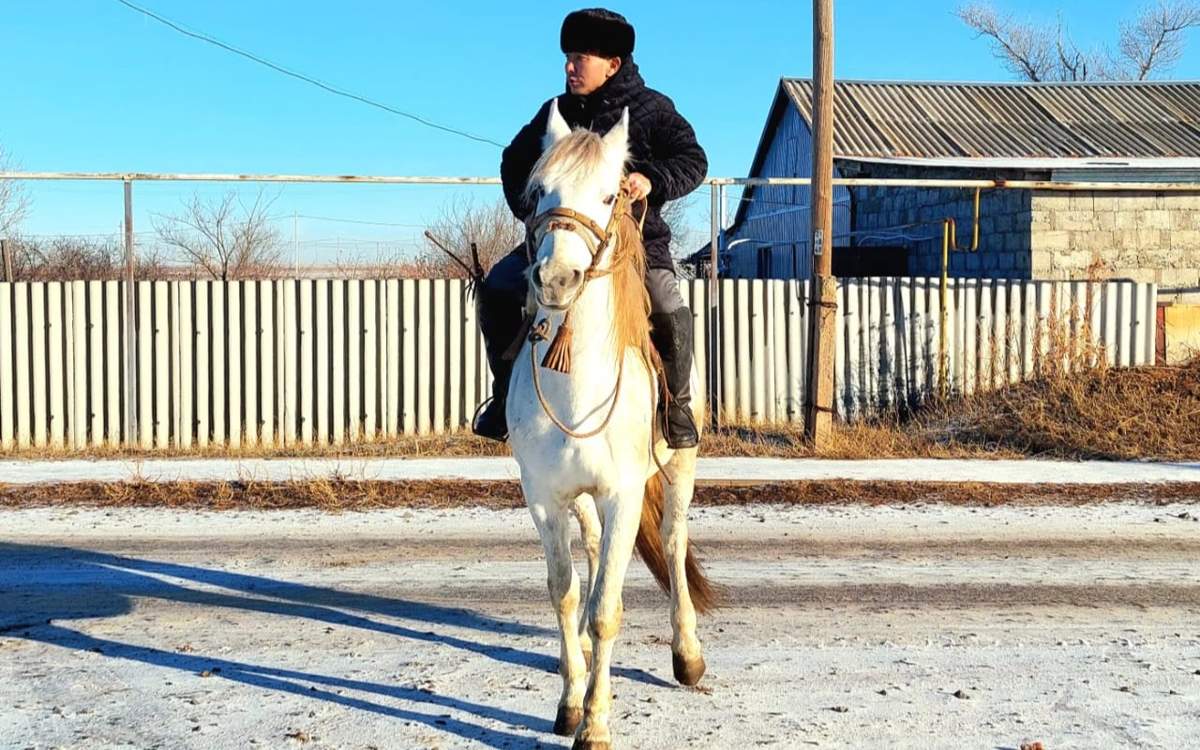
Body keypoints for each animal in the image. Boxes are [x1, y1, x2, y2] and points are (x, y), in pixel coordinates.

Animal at [504, 100, 710, 748]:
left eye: (609, 194)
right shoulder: (544, 498)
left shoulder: (622, 493)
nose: (556, 279)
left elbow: (607, 610)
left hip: (678, 469)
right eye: (538, 191)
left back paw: (687, 655)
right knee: (594, 554)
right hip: (584, 498)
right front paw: (572, 702)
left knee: (672, 541)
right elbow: (568, 594)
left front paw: (595, 724)